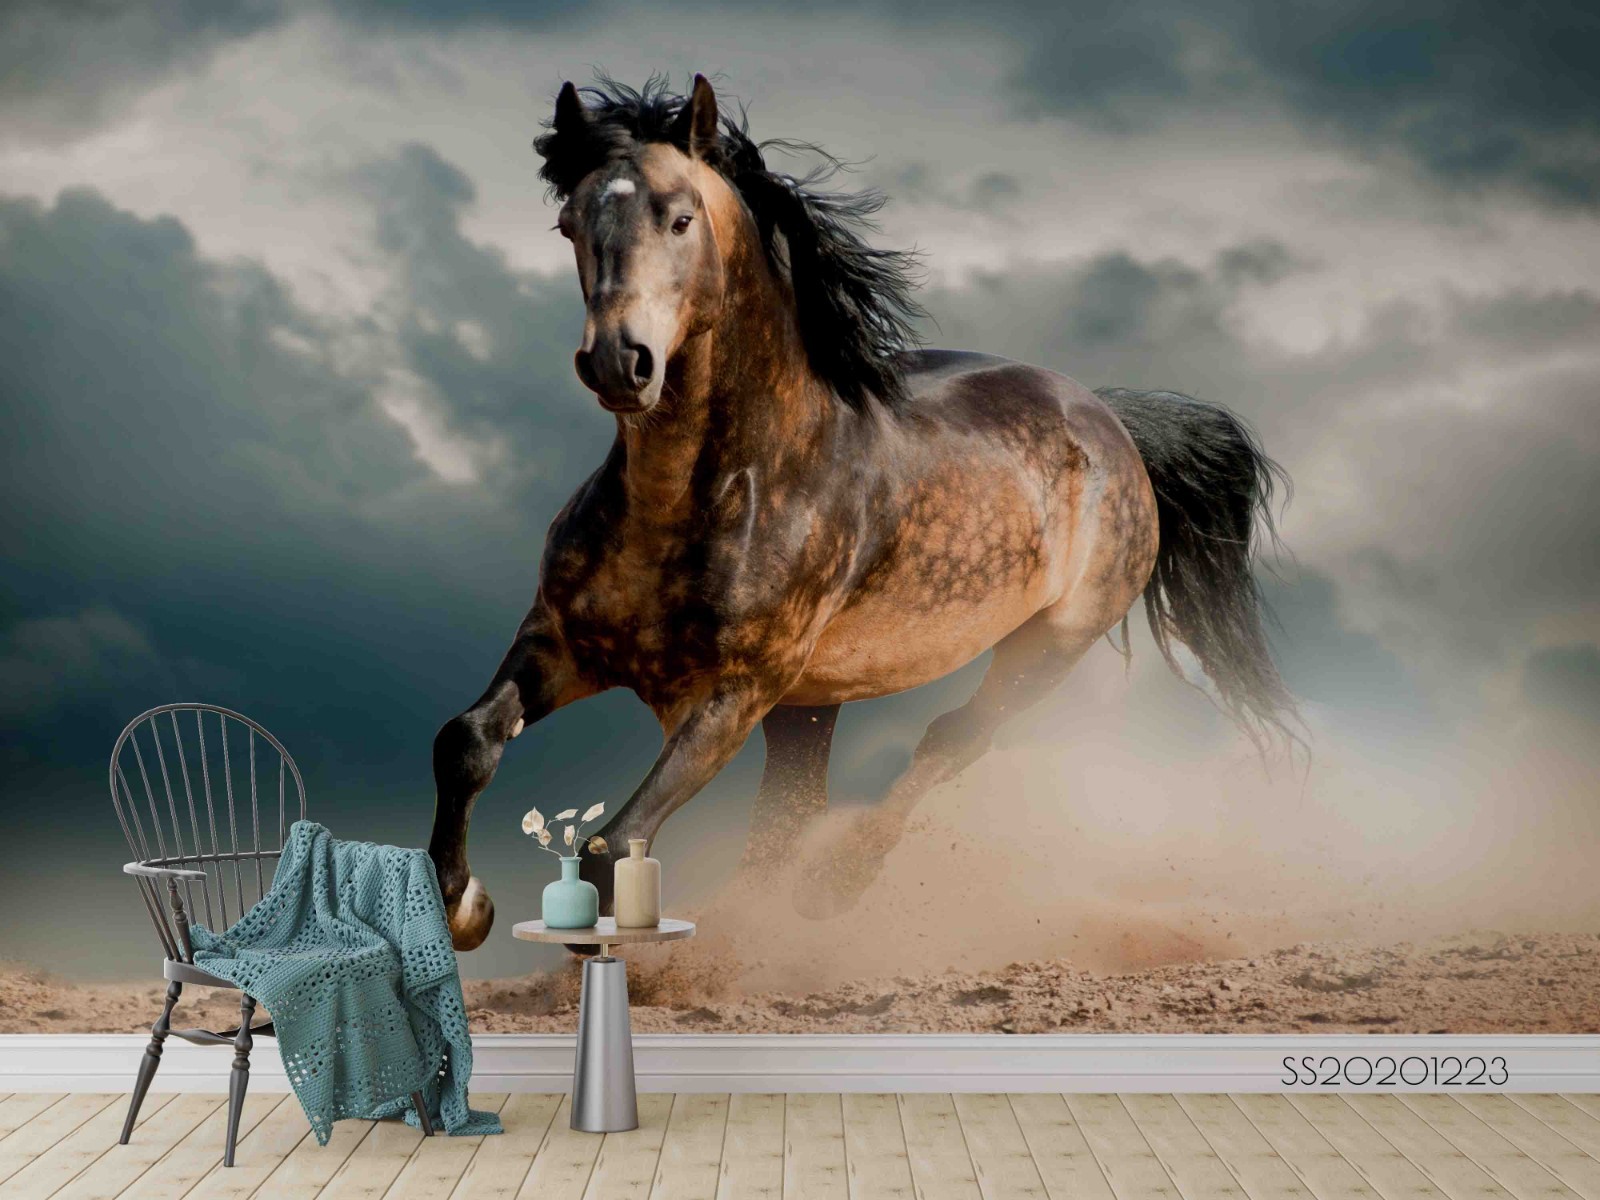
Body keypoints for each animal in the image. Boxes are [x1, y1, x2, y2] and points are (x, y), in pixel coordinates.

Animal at [428, 74, 1296, 951]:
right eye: (569, 223)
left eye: (679, 217)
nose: (618, 362)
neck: (696, 499)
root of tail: (1112, 421)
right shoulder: (562, 642)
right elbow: (466, 742)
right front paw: (461, 907)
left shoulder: (732, 696)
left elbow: (615, 845)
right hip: (812, 702)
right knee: (791, 809)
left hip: (1047, 646)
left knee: (948, 741)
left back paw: (834, 886)